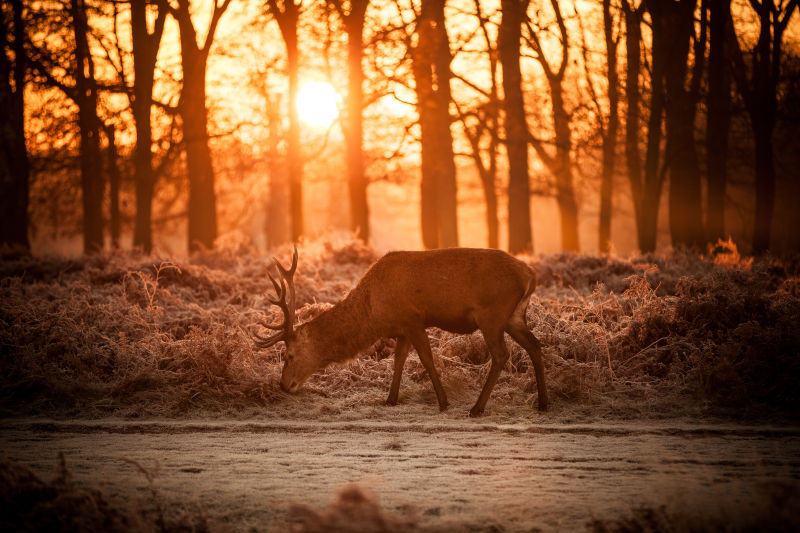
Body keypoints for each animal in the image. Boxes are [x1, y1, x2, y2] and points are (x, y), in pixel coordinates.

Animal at [256, 246, 552, 416]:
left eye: (290, 355)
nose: (284, 385)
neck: (374, 312)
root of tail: (530, 275)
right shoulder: (402, 329)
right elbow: (398, 360)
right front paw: (390, 399)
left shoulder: (413, 319)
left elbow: (427, 359)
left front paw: (443, 402)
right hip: (514, 316)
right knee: (535, 345)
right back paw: (543, 403)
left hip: (492, 314)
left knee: (501, 355)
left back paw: (477, 408)